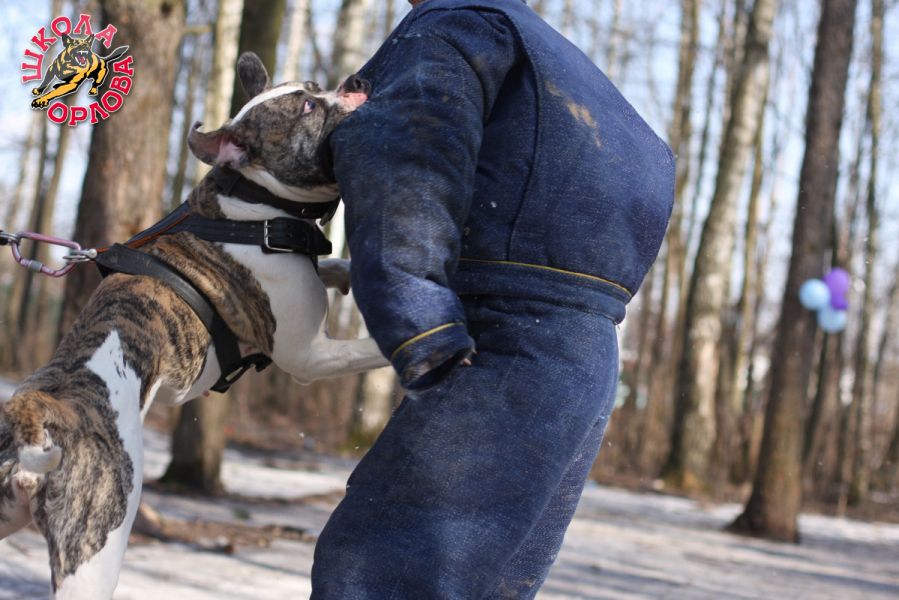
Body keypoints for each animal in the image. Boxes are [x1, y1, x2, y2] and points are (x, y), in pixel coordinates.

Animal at [1, 52, 386, 598]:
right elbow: (371, 348)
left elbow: (334, 267)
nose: (353, 80)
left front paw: (344, 272)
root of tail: (38, 410)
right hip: (96, 548)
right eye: (309, 107)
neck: (251, 204)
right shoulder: (310, 357)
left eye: (315, 85)